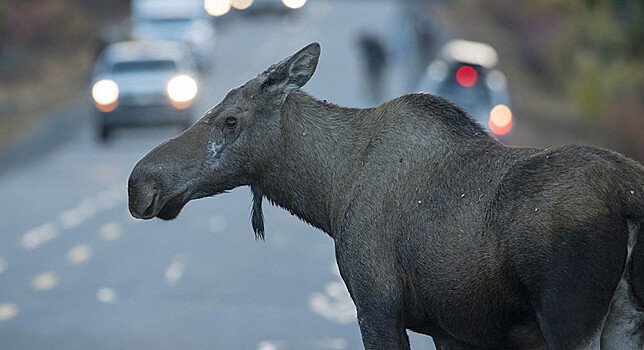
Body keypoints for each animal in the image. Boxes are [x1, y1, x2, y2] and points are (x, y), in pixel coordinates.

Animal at [127, 42, 644, 348]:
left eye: (231, 119)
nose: (140, 183)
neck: (328, 193)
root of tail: (629, 197)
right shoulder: (450, 329)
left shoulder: (377, 305)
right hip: (624, 321)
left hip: (569, 317)